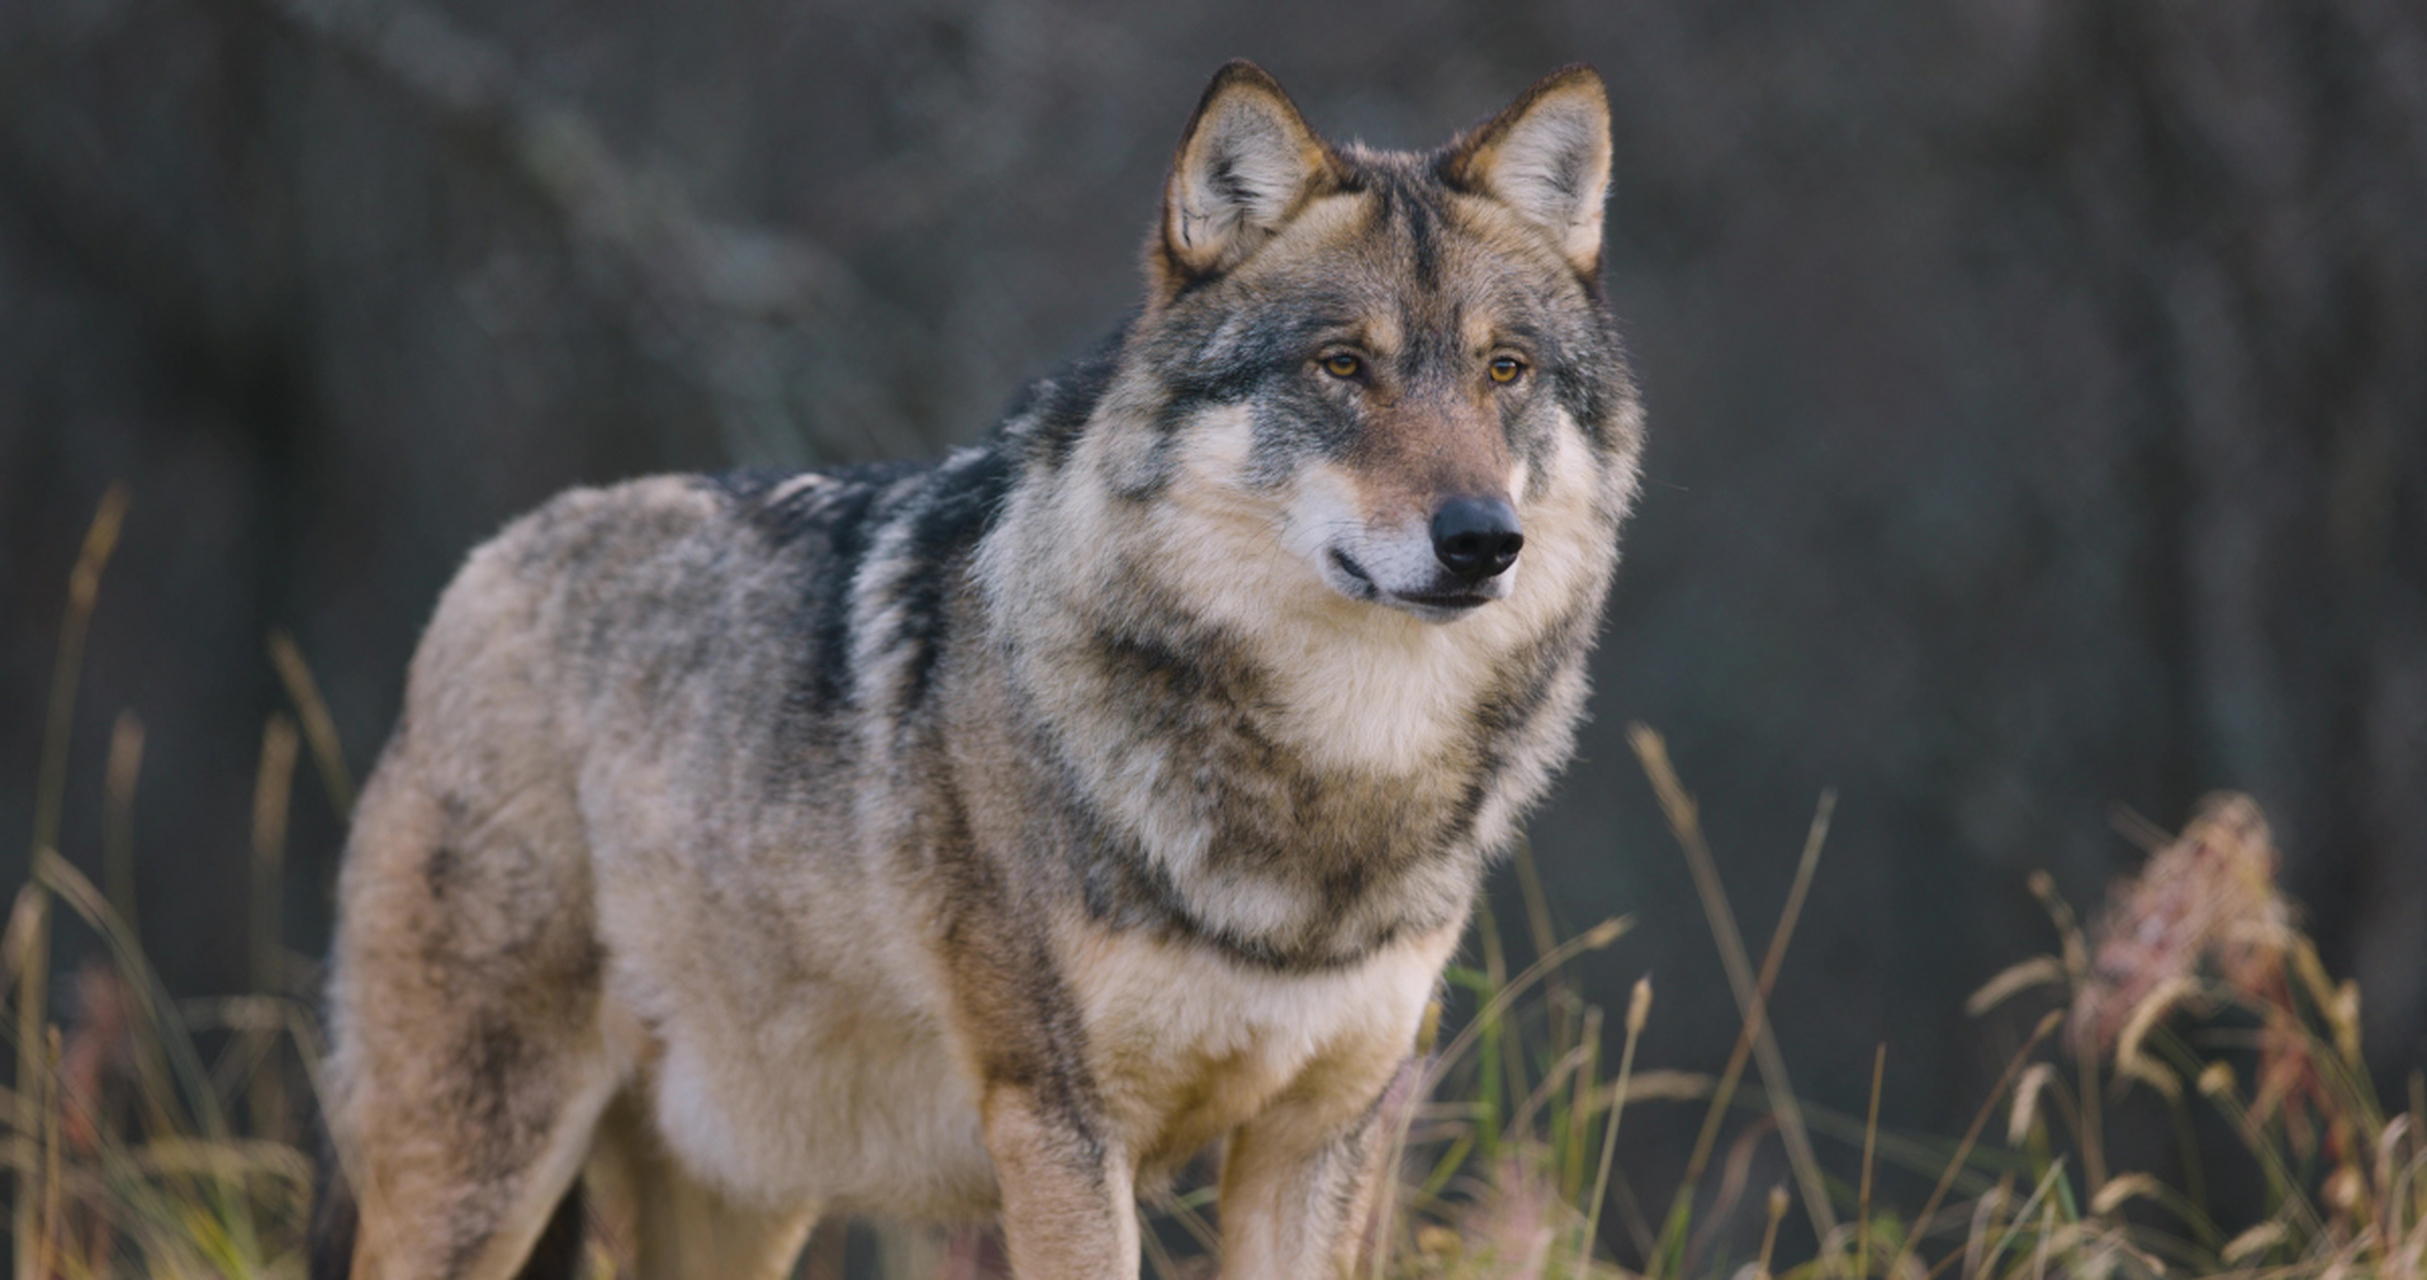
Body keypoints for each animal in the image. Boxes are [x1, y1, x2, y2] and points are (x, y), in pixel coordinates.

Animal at [313, 57, 1650, 1280]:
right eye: (1341, 365)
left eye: (1505, 370)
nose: (1481, 540)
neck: (1330, 780)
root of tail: (488, 562)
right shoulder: (1057, 1124)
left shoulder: (1319, 1133)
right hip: (481, 1174)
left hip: (739, 1196)